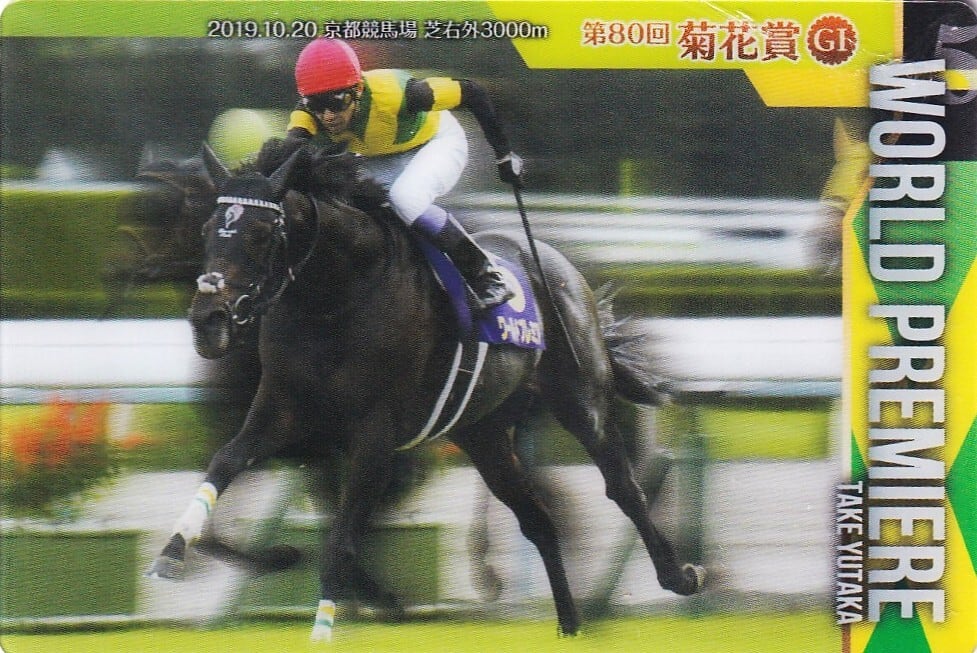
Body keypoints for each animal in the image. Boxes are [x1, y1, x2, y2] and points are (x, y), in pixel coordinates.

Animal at [147, 141, 705, 641]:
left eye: (262, 232)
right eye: (207, 230)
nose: (209, 321)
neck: (332, 298)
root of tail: (561, 263)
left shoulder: (374, 436)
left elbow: (341, 544)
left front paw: (331, 624)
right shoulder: (281, 409)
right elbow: (225, 461)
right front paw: (177, 554)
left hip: (579, 397)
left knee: (622, 486)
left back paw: (679, 576)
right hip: (483, 433)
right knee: (538, 519)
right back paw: (569, 624)